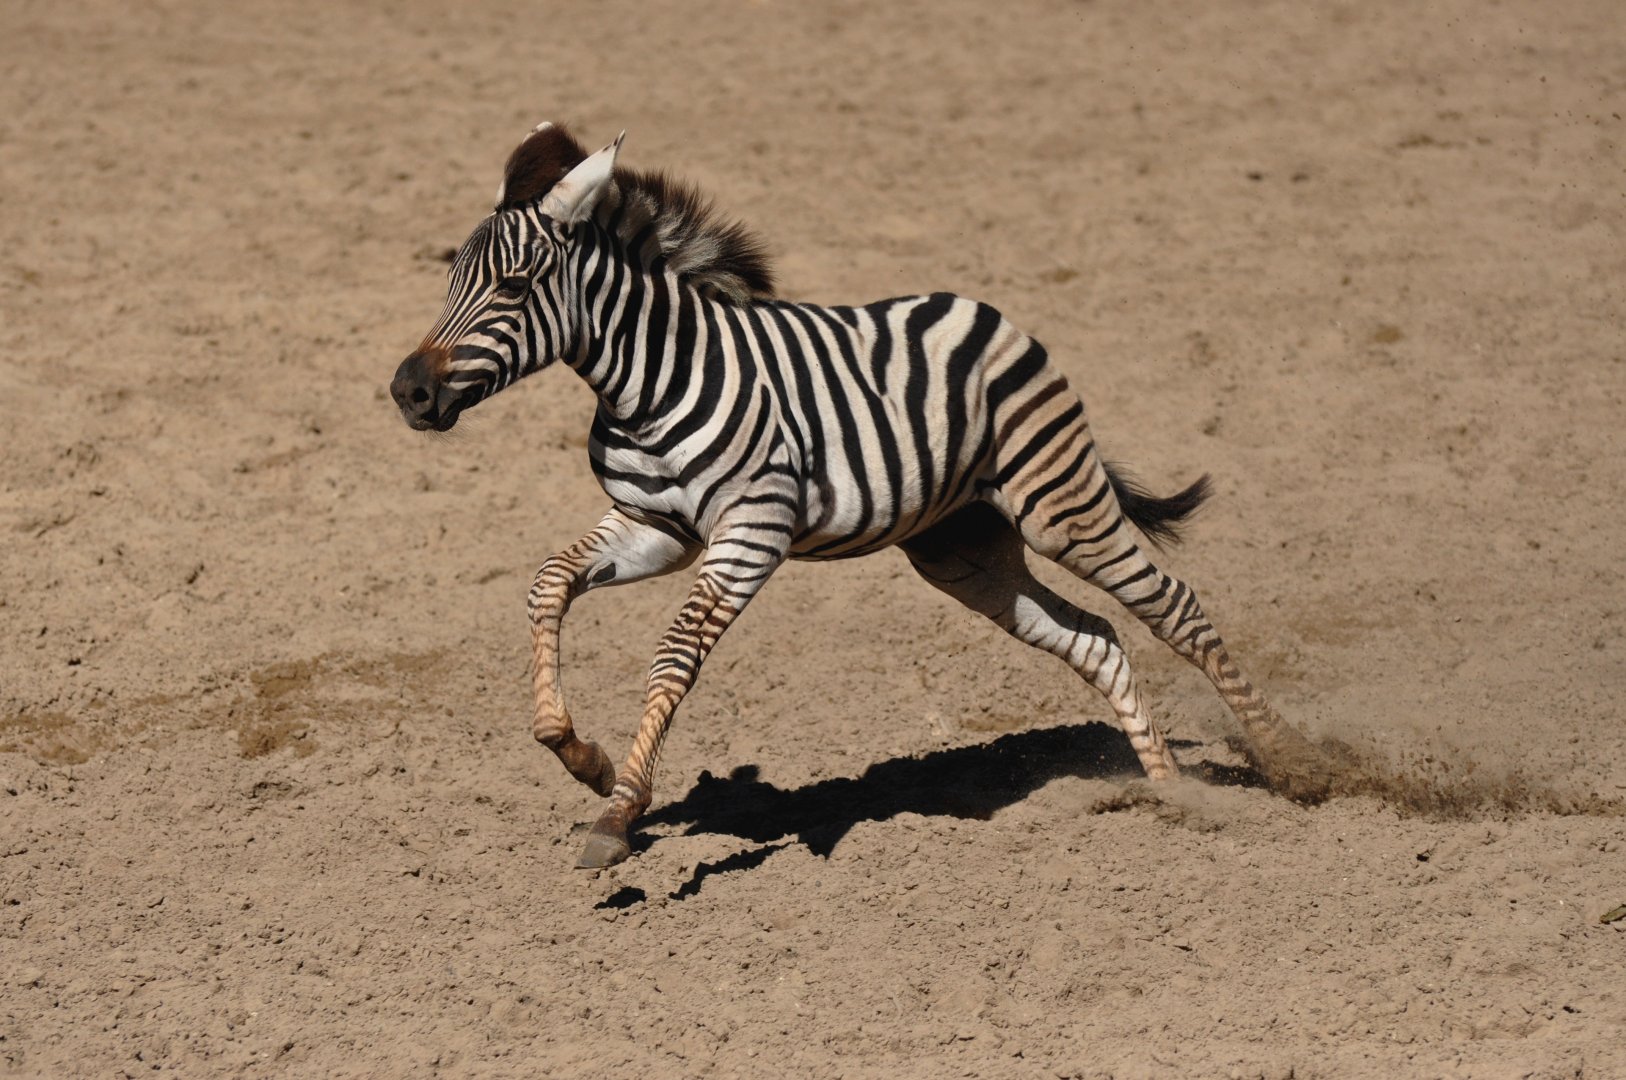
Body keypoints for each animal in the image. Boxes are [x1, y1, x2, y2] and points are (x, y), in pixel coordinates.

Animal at [389, 123, 1326, 869]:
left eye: (512, 287)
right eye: (449, 281)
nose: (409, 392)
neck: (648, 385)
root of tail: (990, 314)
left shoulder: (748, 536)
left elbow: (674, 652)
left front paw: (618, 813)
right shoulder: (654, 527)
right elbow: (548, 581)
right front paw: (577, 754)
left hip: (1061, 506)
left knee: (1177, 608)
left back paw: (1298, 768)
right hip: (963, 551)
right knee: (1093, 639)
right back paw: (1172, 799)